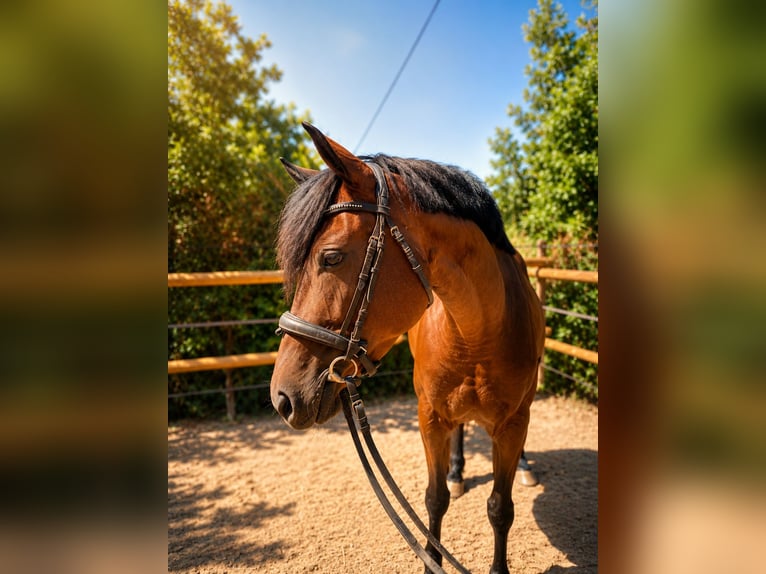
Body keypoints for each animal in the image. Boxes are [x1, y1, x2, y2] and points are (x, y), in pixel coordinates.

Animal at [270, 122, 545, 574]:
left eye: (331, 257)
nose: (282, 397)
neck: (478, 332)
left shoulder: (511, 423)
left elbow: (500, 508)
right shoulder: (429, 417)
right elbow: (435, 499)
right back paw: (458, 471)